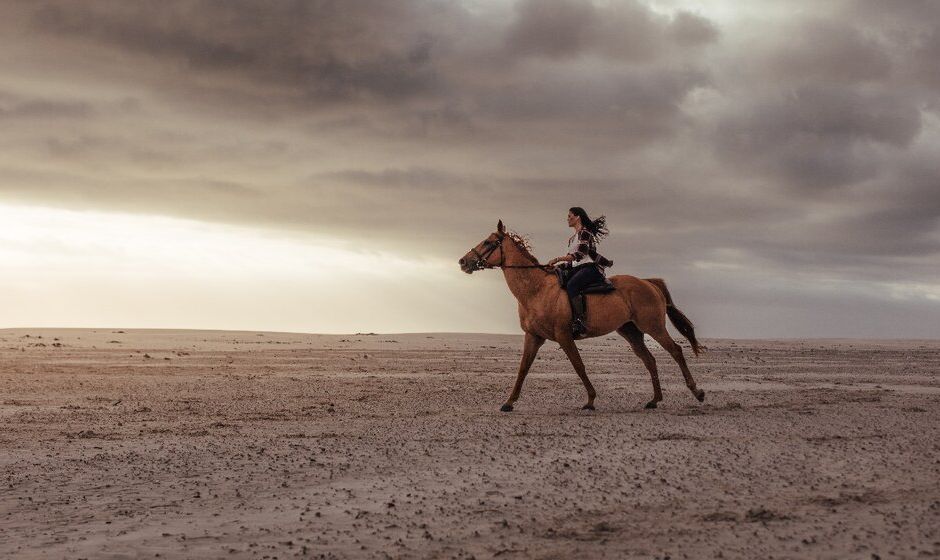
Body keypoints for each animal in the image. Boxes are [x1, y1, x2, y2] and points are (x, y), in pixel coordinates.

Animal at [456, 220, 704, 412]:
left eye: (488, 242)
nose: (463, 262)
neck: (537, 289)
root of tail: (648, 283)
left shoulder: (564, 336)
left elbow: (578, 365)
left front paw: (591, 400)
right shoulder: (533, 337)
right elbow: (523, 369)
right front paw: (508, 402)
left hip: (653, 327)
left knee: (676, 351)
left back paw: (697, 392)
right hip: (630, 331)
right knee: (649, 360)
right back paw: (654, 400)